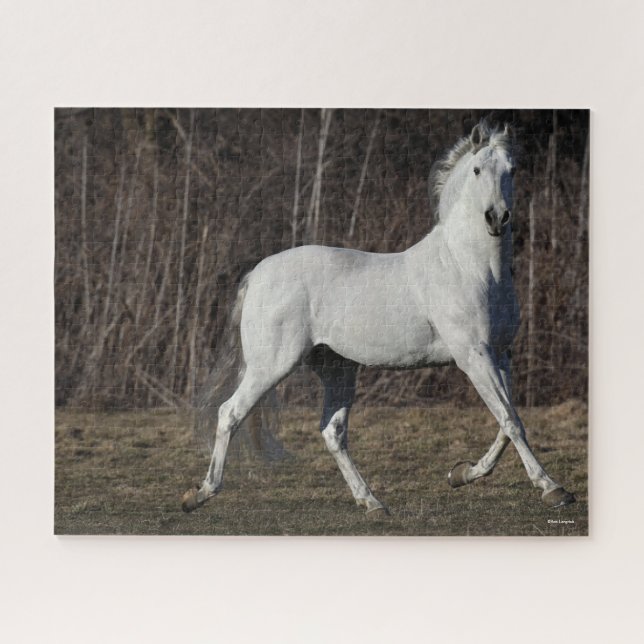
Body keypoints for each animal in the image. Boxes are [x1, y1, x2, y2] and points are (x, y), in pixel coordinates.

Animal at [182, 121, 575, 516]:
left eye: (513, 169)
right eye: (477, 170)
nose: (497, 218)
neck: (471, 268)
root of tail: (257, 274)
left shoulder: (501, 354)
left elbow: (507, 422)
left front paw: (460, 474)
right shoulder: (473, 355)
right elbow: (510, 421)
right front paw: (553, 489)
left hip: (337, 368)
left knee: (332, 432)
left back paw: (372, 503)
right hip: (271, 365)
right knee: (229, 413)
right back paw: (198, 494)